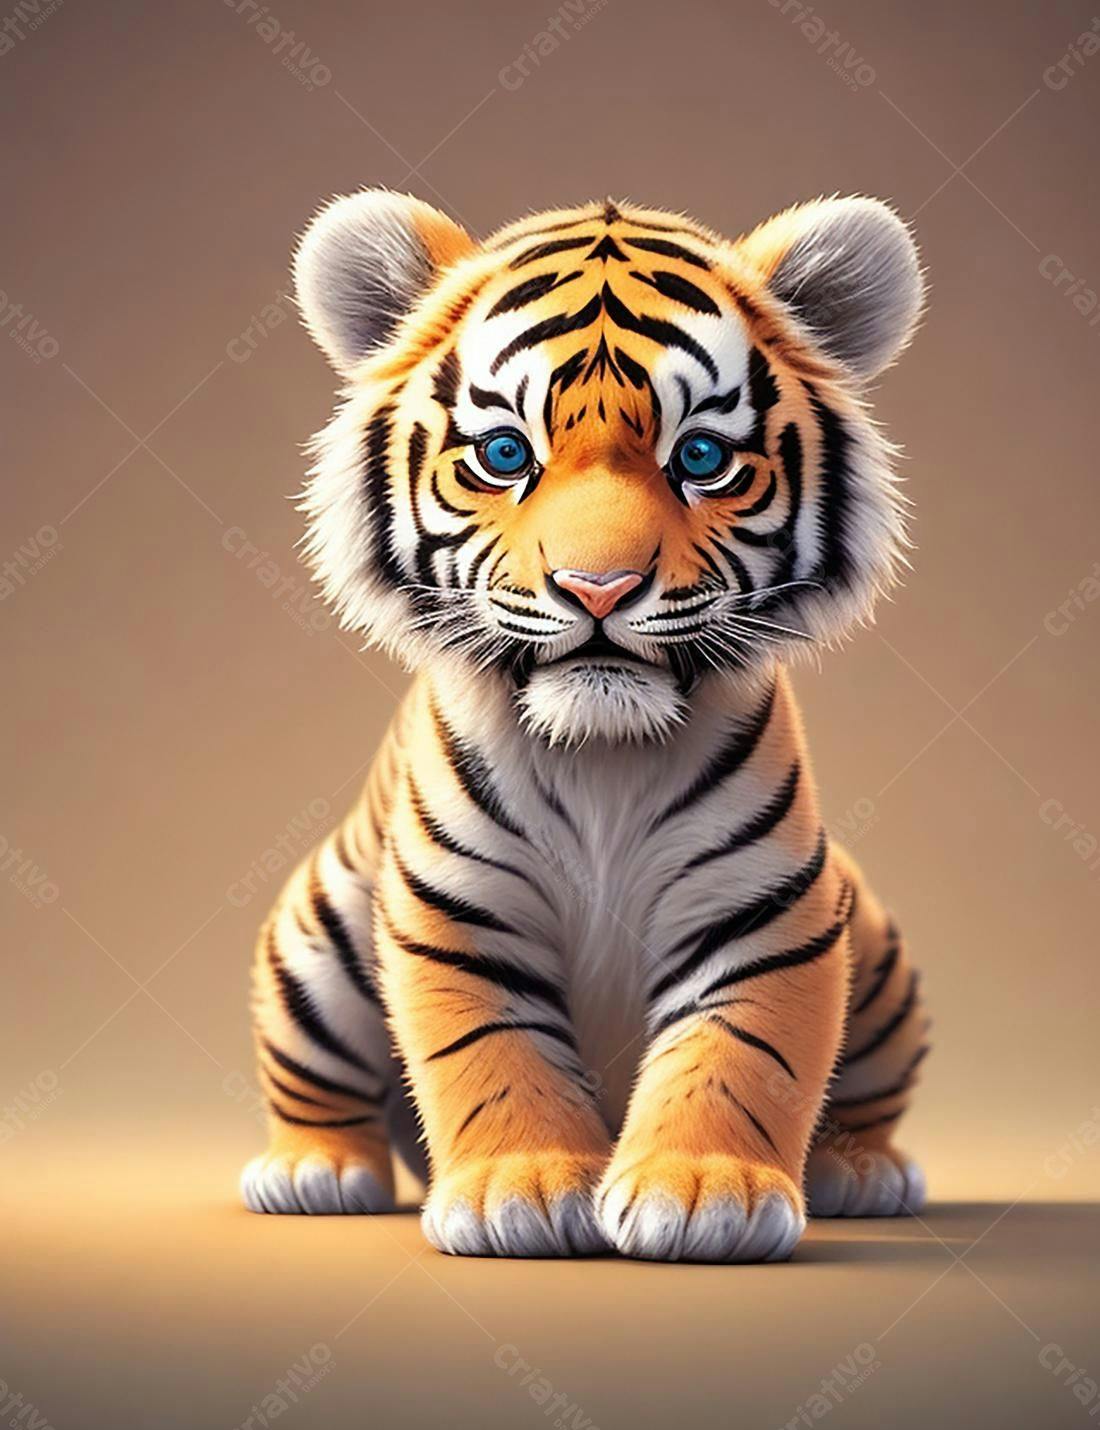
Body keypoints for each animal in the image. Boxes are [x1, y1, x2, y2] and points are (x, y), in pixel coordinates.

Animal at [240, 189, 930, 1262]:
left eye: (700, 458)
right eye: (504, 455)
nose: (597, 586)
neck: (601, 753)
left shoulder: (767, 910)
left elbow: (746, 1049)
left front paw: (707, 1195)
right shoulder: (455, 908)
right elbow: (489, 1050)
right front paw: (516, 1192)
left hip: (881, 951)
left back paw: (862, 1172)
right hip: (319, 932)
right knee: (315, 1082)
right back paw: (314, 1171)